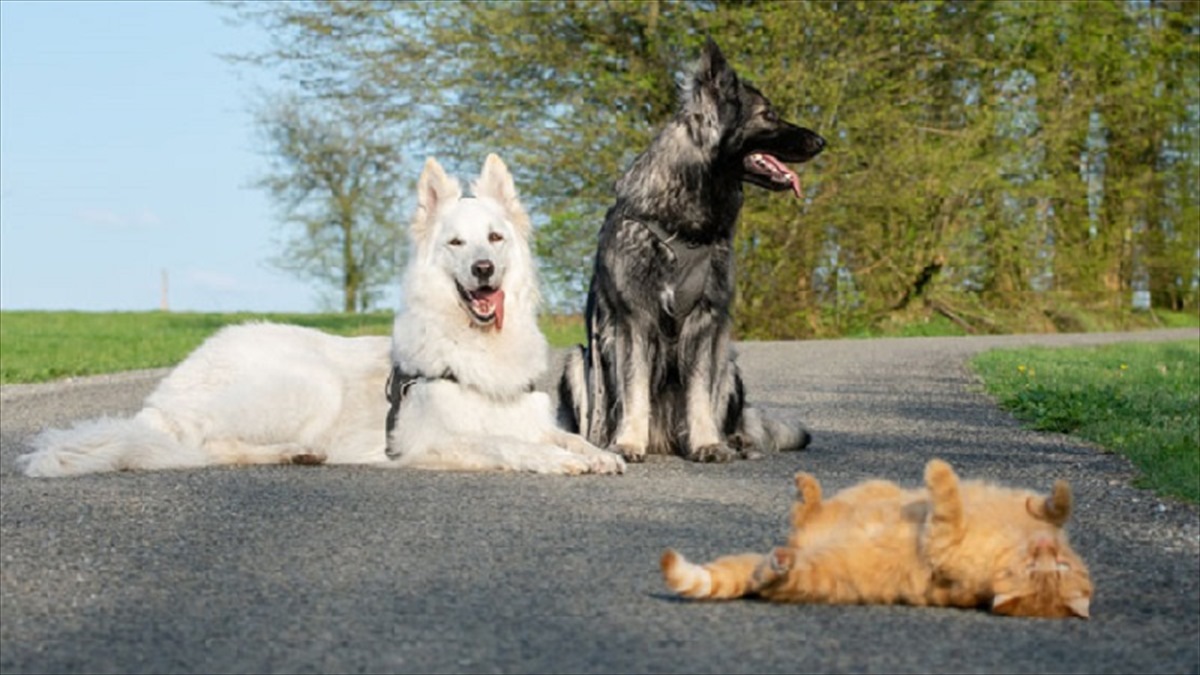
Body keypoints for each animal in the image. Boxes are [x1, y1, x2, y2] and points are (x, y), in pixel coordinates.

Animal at [14, 154, 624, 475]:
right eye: (456, 242)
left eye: (495, 238)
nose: (483, 269)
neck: (474, 347)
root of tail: (159, 403)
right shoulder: (427, 441)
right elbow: (504, 443)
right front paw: (557, 462)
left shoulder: (530, 417)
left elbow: (565, 438)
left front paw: (595, 453)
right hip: (308, 385)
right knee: (205, 447)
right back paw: (290, 452)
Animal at [554, 38, 820, 461]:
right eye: (769, 115)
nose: (821, 142)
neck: (682, 224)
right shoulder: (633, 321)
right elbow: (633, 390)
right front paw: (628, 442)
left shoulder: (705, 320)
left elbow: (699, 395)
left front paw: (707, 443)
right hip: (578, 362)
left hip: (729, 361)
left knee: (733, 416)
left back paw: (736, 442)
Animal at [662, 454, 1094, 619]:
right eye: (1057, 565)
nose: (1044, 548)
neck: (1013, 541)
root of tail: (801, 547)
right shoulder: (1029, 510)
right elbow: (1056, 505)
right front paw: (1056, 494)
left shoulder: (944, 546)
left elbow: (949, 501)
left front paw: (939, 471)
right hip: (871, 489)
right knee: (806, 514)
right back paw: (806, 489)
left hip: (814, 574)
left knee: (769, 576)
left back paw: (780, 562)